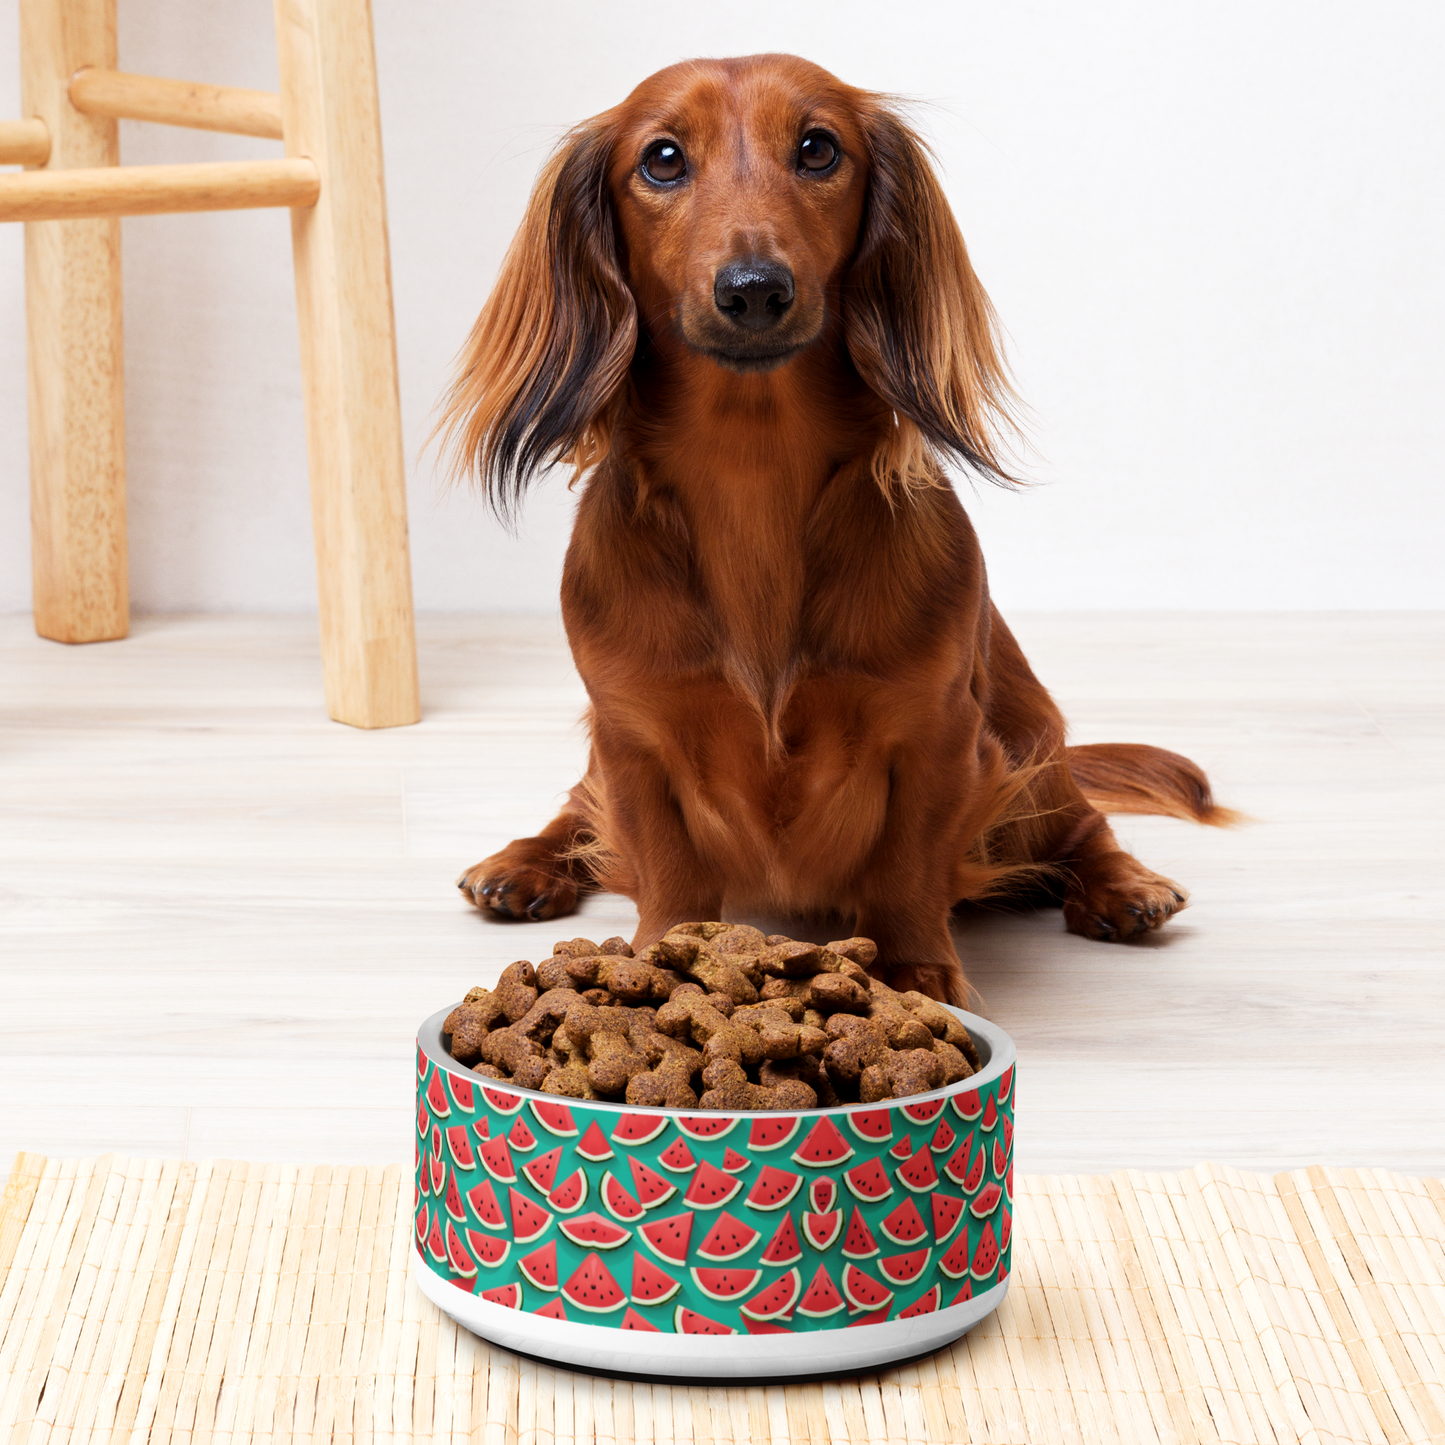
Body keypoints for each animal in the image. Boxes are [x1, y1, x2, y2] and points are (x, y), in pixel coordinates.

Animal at [436, 53, 1231, 1005]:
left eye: (818, 148)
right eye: (661, 159)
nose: (753, 290)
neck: (752, 473)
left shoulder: (937, 733)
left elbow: (906, 866)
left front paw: (916, 971)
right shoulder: (632, 735)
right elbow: (664, 865)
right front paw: (660, 959)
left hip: (1028, 743)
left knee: (1081, 823)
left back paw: (1123, 885)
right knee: (576, 811)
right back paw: (524, 863)